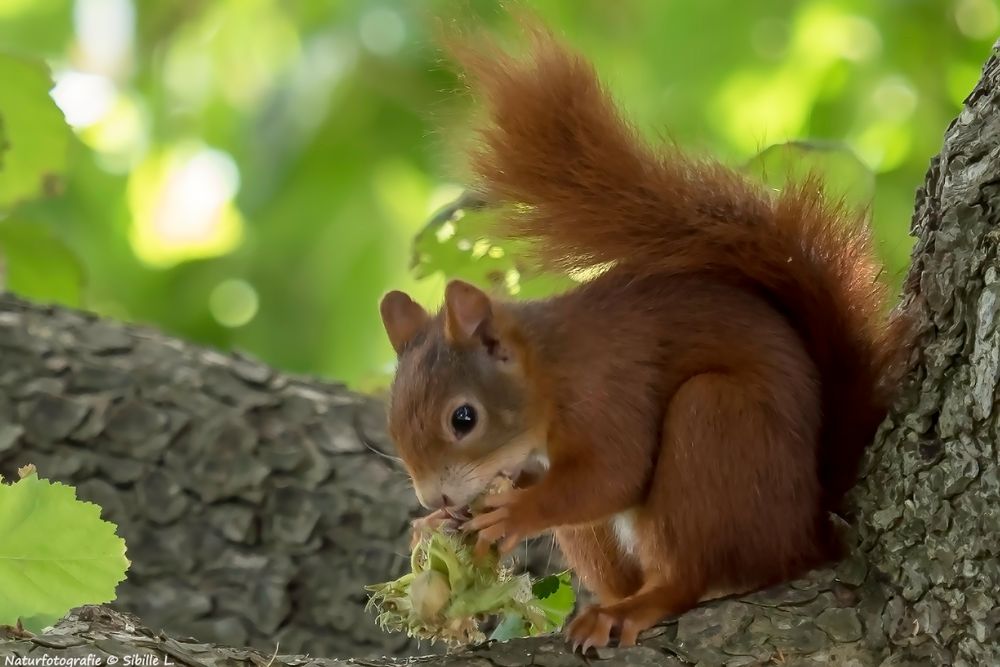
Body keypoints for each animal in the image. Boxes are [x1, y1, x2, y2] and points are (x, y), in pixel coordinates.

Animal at [378, 23, 912, 648]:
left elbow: (614, 472)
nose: (435, 496)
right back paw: (606, 606)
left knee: (685, 574)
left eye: (464, 419)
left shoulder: (608, 390)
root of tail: (807, 535)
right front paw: (434, 525)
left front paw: (512, 514)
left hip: (716, 427)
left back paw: (638, 606)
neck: (549, 370)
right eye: (393, 426)